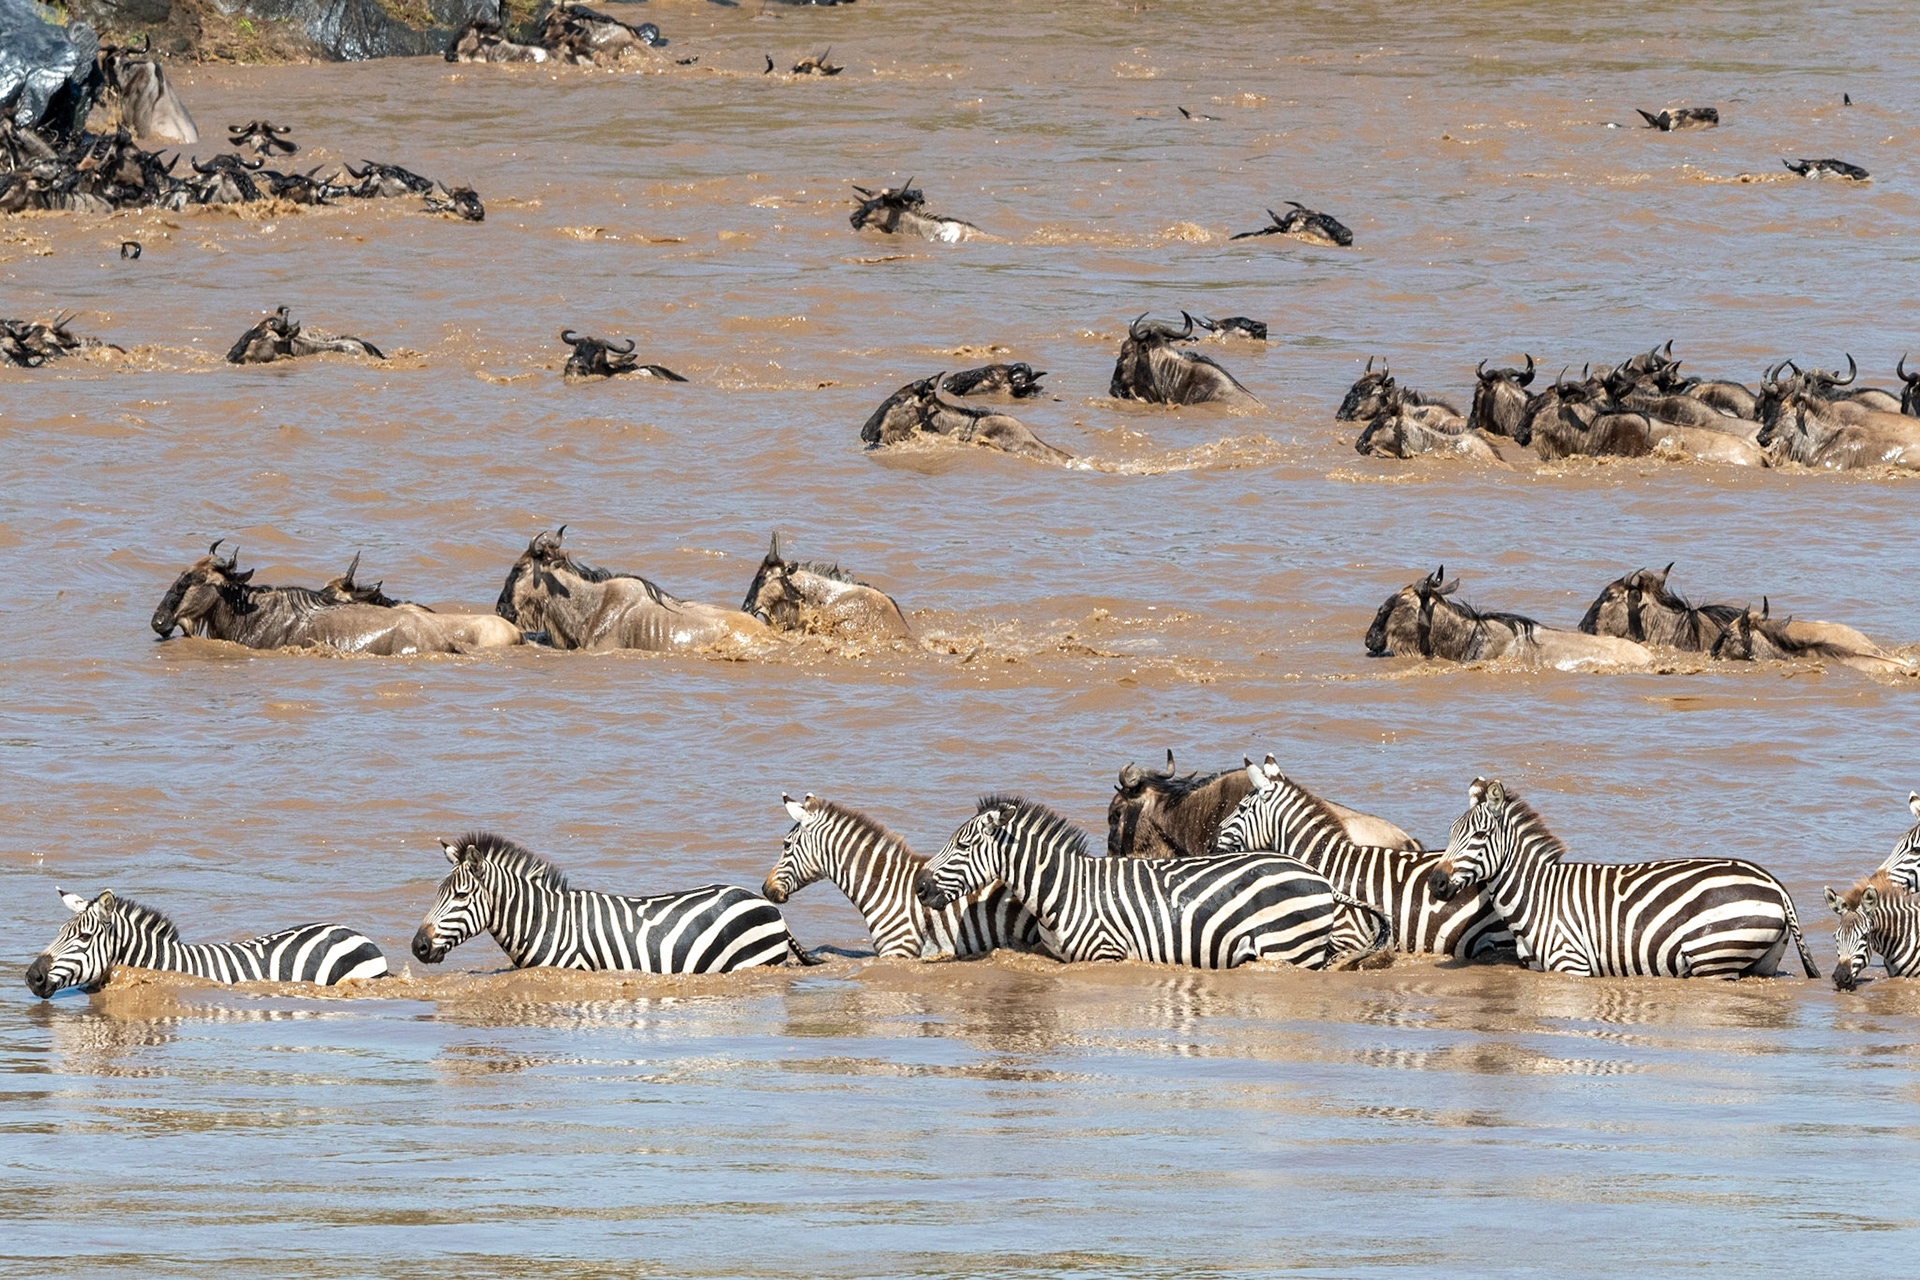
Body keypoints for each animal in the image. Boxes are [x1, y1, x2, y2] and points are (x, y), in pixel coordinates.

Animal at [914, 795, 1390, 970]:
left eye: (962, 846)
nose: (919, 887)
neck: (1064, 890)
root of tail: (1320, 879)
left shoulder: (1107, 956)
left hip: (1289, 949)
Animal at [1429, 778, 1819, 979]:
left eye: (1479, 836)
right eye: (1450, 834)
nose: (1435, 883)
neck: (1538, 896)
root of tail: (1775, 885)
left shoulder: (1572, 964)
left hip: (1715, 957)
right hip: (1762, 962)